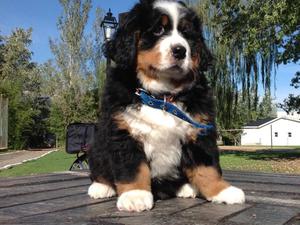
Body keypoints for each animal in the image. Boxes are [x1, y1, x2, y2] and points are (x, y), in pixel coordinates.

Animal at [88, 0, 245, 212]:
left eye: (187, 34)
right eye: (158, 30)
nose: (180, 50)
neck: (162, 97)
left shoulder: (199, 132)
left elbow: (207, 167)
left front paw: (222, 190)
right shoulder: (124, 133)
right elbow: (133, 168)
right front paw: (135, 195)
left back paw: (185, 187)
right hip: (96, 146)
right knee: (99, 168)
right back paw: (101, 187)